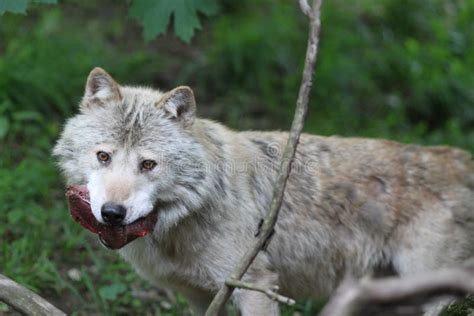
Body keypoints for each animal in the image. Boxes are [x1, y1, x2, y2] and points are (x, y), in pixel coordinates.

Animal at [52, 68, 474, 314]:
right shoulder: (198, 296)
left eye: (148, 165)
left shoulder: (255, 287)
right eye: (103, 156)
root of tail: (461, 158)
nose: (112, 213)